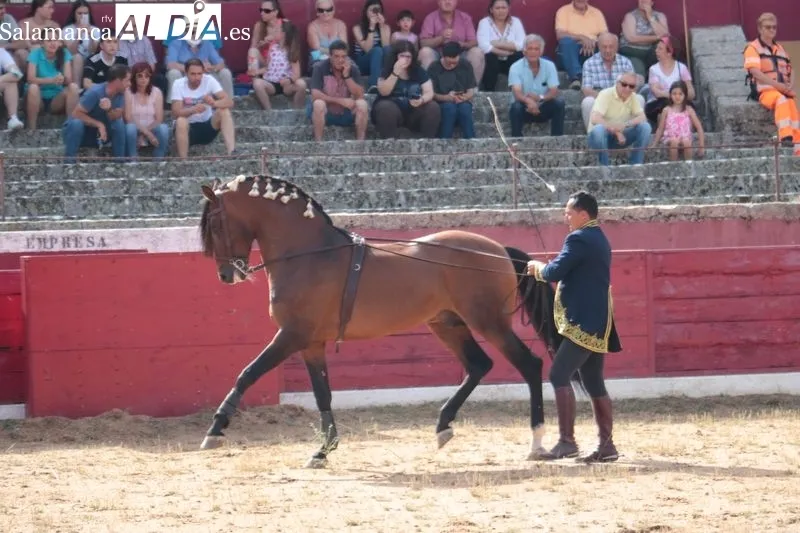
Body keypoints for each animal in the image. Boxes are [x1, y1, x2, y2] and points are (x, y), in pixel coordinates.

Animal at [197, 174, 564, 468]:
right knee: (478, 365)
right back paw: (443, 426)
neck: (309, 254)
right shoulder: (311, 343)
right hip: (448, 324)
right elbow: (322, 394)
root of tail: (497, 250)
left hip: (490, 323)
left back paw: (536, 440)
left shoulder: (291, 336)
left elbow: (248, 373)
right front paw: (324, 450)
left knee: (529, 365)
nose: (227, 275)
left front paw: (215, 429)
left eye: (214, 224)